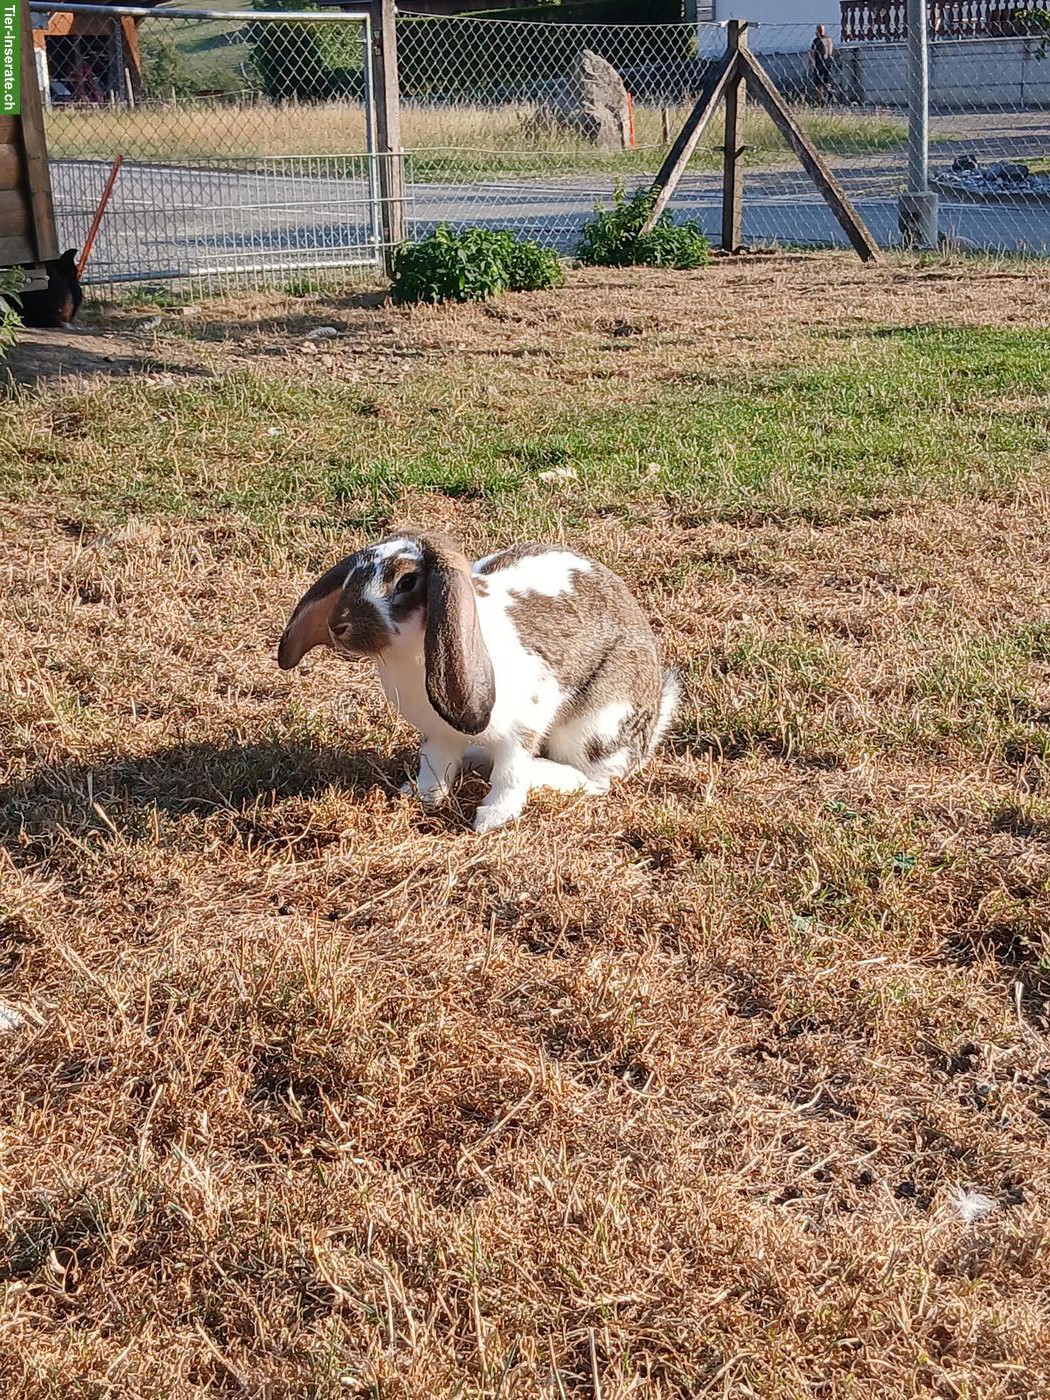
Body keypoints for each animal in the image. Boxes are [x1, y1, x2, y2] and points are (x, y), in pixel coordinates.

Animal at [277, 530, 679, 833]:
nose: (338, 625)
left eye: (407, 581)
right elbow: (434, 767)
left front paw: (492, 818)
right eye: (350, 576)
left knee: (594, 779)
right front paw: (420, 795)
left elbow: (510, 775)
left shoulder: (523, 726)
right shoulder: (437, 735)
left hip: (593, 725)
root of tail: (650, 728)